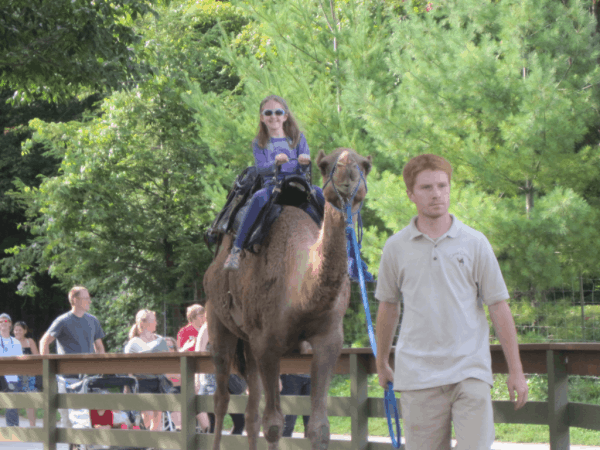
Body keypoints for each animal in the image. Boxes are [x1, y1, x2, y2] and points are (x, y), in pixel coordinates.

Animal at [203, 149, 370, 450]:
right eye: (326, 164)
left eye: (365, 164)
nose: (347, 169)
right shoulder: (266, 343)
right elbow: (273, 425)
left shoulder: (329, 340)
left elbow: (319, 427)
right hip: (217, 321)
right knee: (221, 399)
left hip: (248, 343)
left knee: (251, 410)